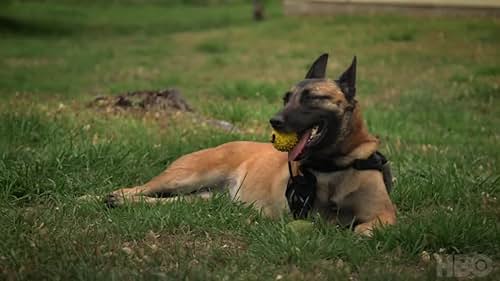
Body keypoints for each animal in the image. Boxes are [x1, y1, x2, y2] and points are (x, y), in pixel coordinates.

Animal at [104, 54, 394, 234]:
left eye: (312, 98)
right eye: (286, 98)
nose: (274, 122)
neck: (334, 164)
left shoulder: (387, 214)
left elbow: (367, 227)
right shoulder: (308, 213)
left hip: (200, 198)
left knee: (169, 202)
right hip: (184, 177)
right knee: (139, 188)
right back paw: (108, 197)